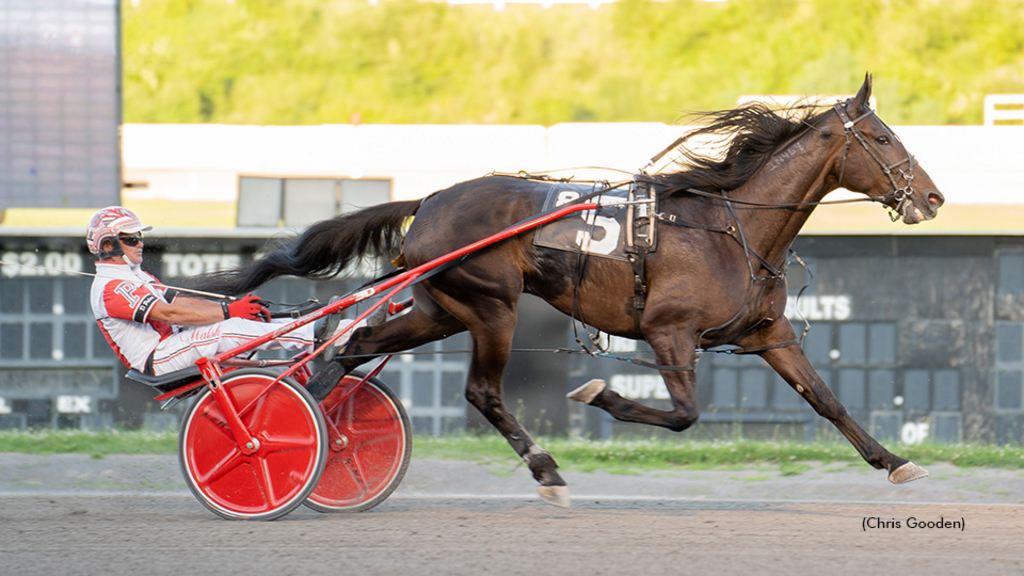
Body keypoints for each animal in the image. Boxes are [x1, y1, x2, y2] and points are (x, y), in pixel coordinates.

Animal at [186, 75, 942, 502]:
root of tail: (429, 199)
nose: (932, 196)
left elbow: (828, 401)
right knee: (480, 392)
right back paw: (543, 469)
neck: (729, 227)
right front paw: (598, 395)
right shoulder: (670, 333)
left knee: (351, 347)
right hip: (492, 306)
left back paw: (313, 434)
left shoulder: (769, 335)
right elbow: (682, 414)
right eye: (881, 136)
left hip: (438, 308)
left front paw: (895, 461)